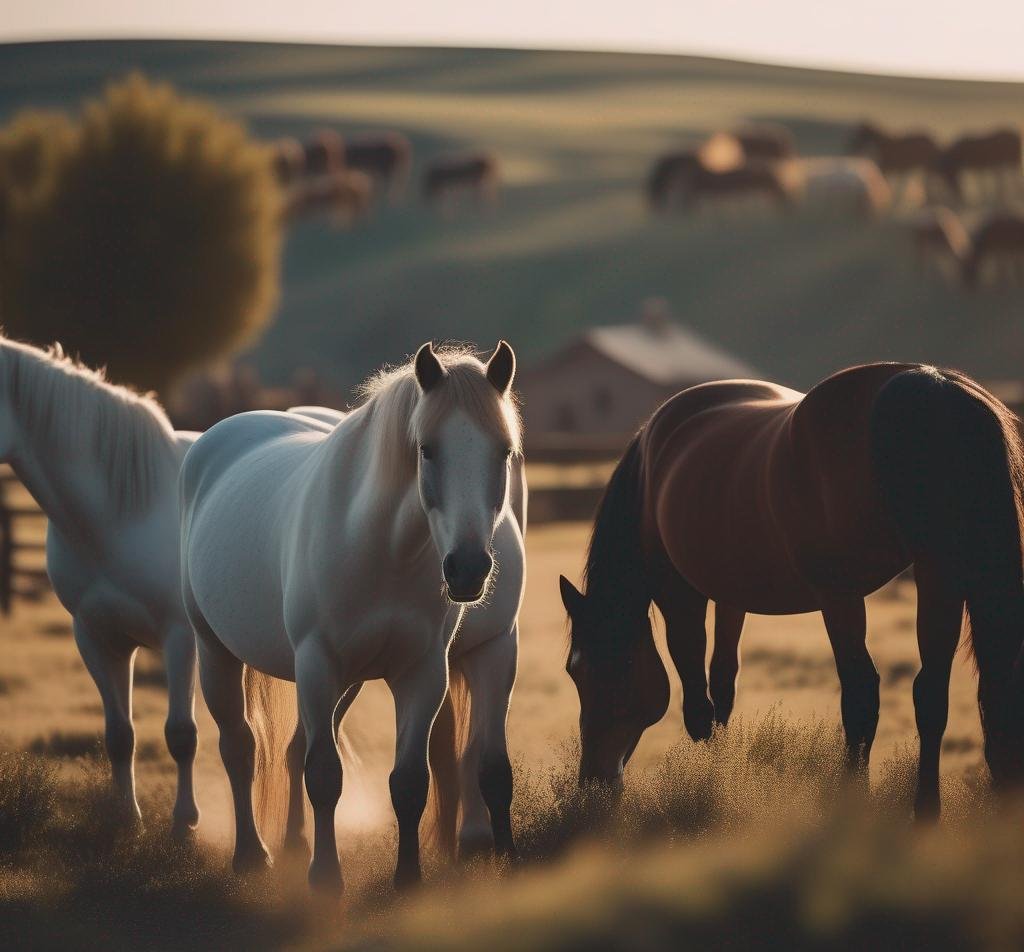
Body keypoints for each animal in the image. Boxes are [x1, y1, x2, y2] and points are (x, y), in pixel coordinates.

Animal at [179, 343, 524, 892]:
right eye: (427, 450)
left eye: (503, 451)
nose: (468, 568)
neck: (380, 547)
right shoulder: (318, 664)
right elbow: (324, 775)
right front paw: (326, 879)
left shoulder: (422, 673)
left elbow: (409, 781)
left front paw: (408, 878)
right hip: (215, 652)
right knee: (239, 748)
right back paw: (251, 855)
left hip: (348, 682)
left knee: (291, 749)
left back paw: (292, 844)